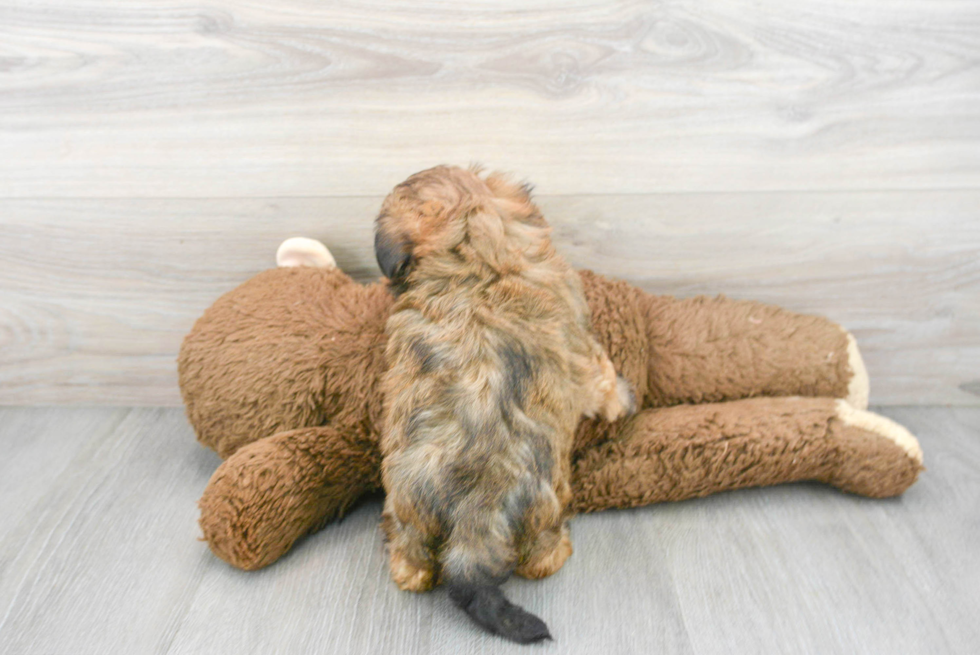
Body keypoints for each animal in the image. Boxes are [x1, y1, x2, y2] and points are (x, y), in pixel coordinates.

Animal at [376, 165, 636, 644]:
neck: (474, 259)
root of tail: (473, 516)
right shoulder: (583, 350)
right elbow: (603, 379)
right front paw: (625, 401)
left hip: (408, 506)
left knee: (411, 558)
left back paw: (410, 571)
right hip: (544, 505)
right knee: (539, 555)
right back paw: (556, 554)